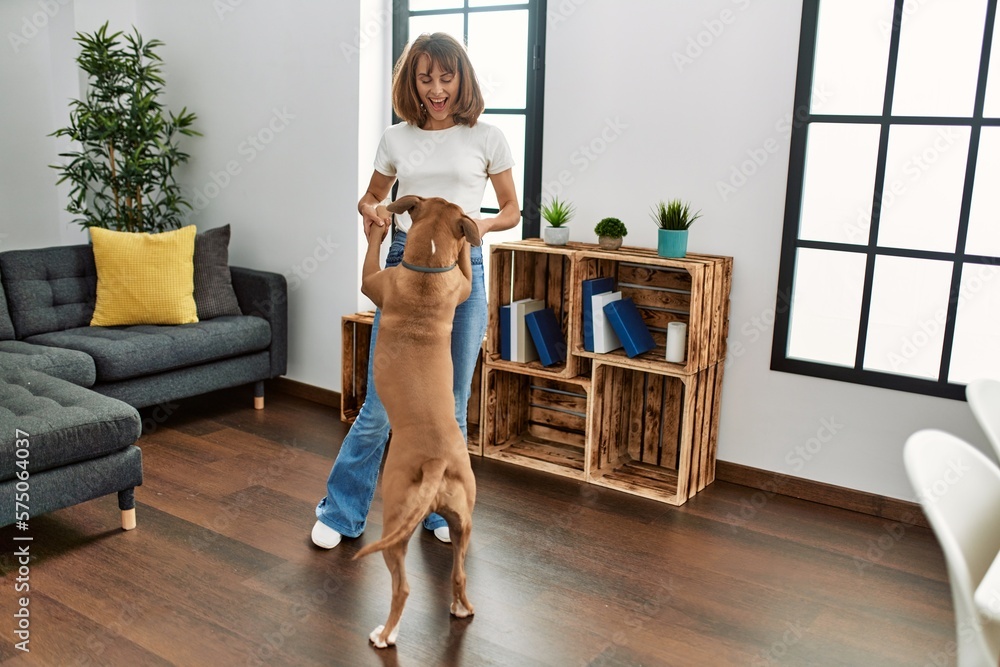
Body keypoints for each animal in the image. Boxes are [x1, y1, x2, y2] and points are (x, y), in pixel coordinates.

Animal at [354, 192, 482, 648]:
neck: (427, 267)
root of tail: (436, 462)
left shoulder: (373, 282)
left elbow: (371, 257)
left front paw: (377, 224)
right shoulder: (460, 286)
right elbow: (465, 268)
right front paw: (466, 242)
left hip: (395, 523)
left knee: (403, 588)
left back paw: (384, 634)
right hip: (464, 522)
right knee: (459, 575)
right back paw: (461, 609)